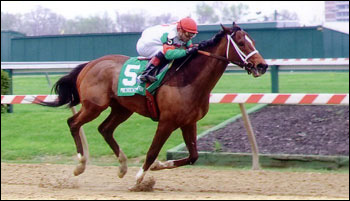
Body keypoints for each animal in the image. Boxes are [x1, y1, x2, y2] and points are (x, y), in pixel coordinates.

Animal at [39, 22, 268, 185]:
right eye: (241, 43)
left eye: (254, 41)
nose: (262, 66)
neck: (187, 79)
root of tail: (90, 64)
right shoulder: (166, 122)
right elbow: (152, 151)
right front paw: (139, 179)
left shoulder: (188, 122)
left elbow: (193, 156)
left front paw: (157, 167)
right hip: (94, 105)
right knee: (73, 123)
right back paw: (80, 164)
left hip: (122, 108)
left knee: (105, 129)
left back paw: (122, 166)